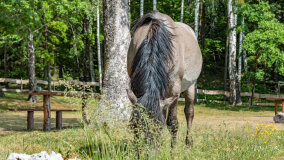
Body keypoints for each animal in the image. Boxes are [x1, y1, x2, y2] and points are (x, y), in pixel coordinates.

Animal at [126, 10, 202, 147]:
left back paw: (188, 144)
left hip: (190, 86)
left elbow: (172, 122)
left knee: (189, 112)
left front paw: (173, 149)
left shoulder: (175, 88)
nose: (148, 149)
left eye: (159, 126)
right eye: (136, 125)